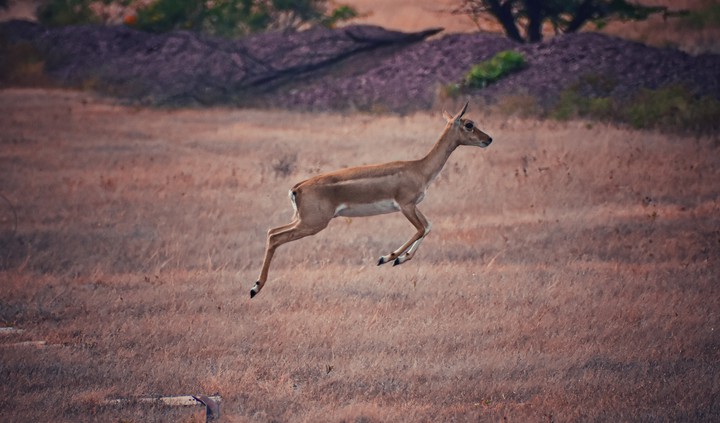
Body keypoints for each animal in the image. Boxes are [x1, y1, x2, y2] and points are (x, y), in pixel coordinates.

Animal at [250, 102, 493, 298]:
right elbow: (421, 229)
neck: (419, 168)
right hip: (313, 224)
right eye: (469, 124)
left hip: (302, 220)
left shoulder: (413, 206)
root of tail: (297, 188)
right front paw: (387, 257)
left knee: (272, 232)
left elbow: (429, 226)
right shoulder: (405, 205)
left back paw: (255, 287)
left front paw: (398, 259)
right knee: (276, 237)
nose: (488, 139)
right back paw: (255, 288)